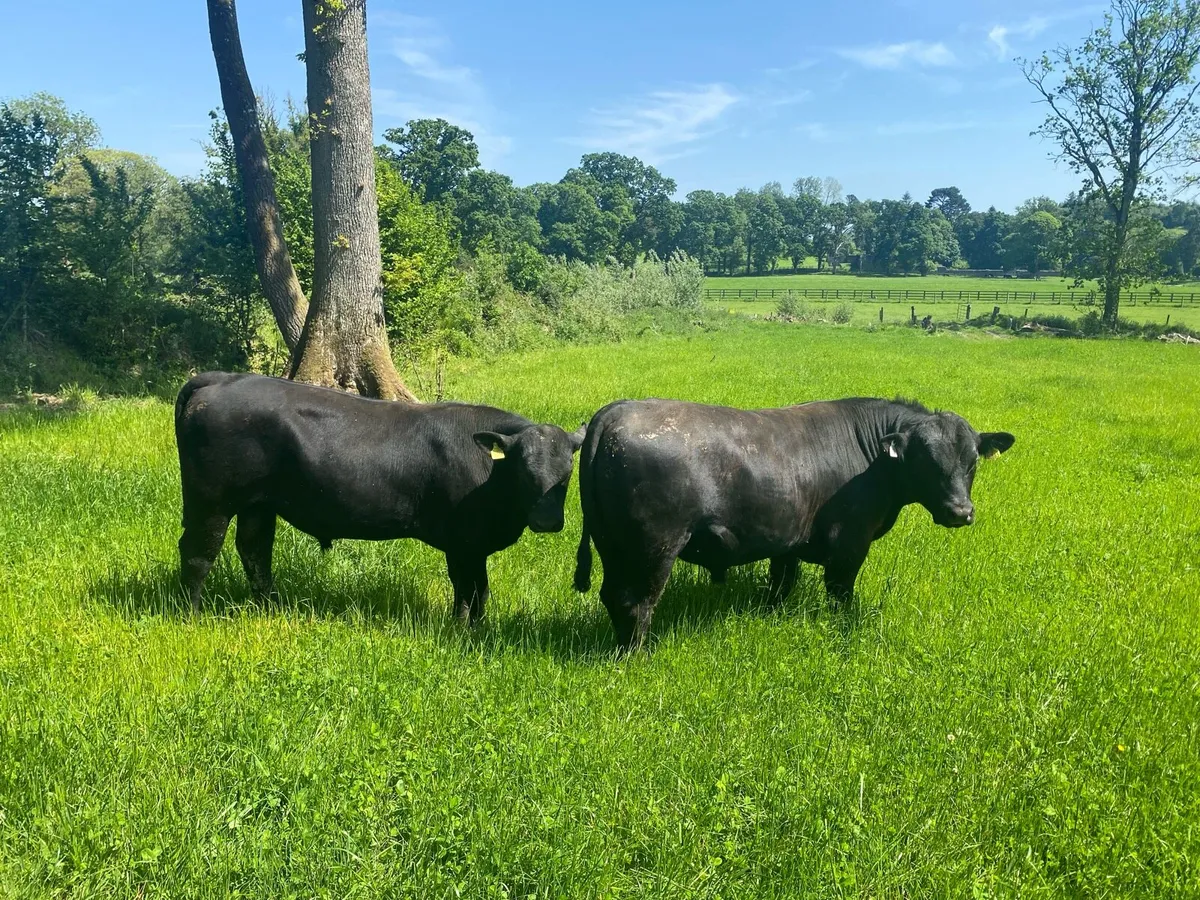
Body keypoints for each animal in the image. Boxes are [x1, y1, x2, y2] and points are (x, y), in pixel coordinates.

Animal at [175, 372, 585, 622]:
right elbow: (465, 587)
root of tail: (222, 377)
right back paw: (191, 614)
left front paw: (480, 626)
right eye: (524, 470)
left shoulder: (476, 544)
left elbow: (481, 588)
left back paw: (270, 607)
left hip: (258, 504)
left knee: (255, 550)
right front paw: (460, 626)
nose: (547, 521)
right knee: (198, 552)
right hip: (211, 501)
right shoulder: (461, 541)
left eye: (567, 473)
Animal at [574, 397, 1014, 650]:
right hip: (653, 549)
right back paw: (639, 654)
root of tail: (616, 410)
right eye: (925, 461)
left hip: (612, 545)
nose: (960, 511)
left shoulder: (786, 542)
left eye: (972, 461)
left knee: (613, 597)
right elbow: (841, 594)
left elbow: (781, 584)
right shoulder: (850, 543)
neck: (871, 458)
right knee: (636, 602)